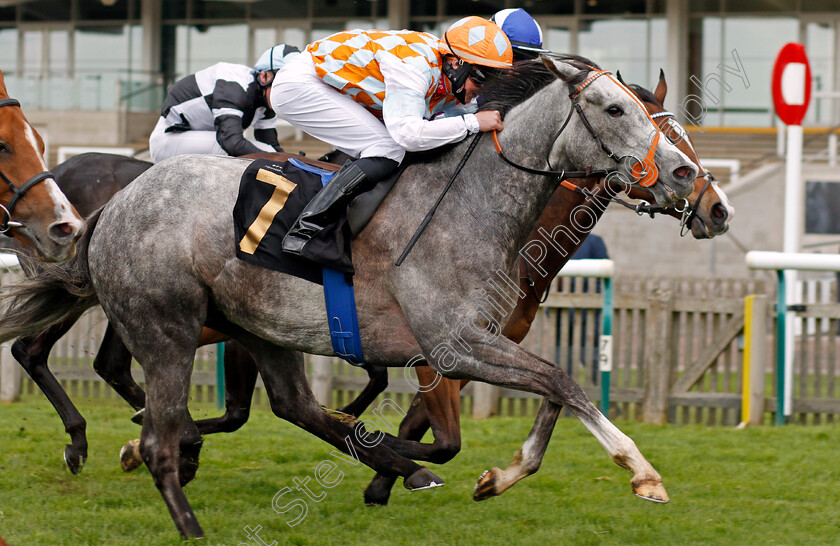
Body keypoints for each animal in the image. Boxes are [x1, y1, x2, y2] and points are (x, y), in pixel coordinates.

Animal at [0, 55, 696, 536]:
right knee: (151, 429)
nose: (690, 177)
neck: (469, 208)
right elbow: (559, 382)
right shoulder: (454, 345)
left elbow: (554, 385)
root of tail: (114, 204)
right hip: (166, 330)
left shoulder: (472, 345)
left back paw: (393, 463)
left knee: (294, 408)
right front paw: (643, 473)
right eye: (614, 109)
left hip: (257, 327)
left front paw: (498, 475)